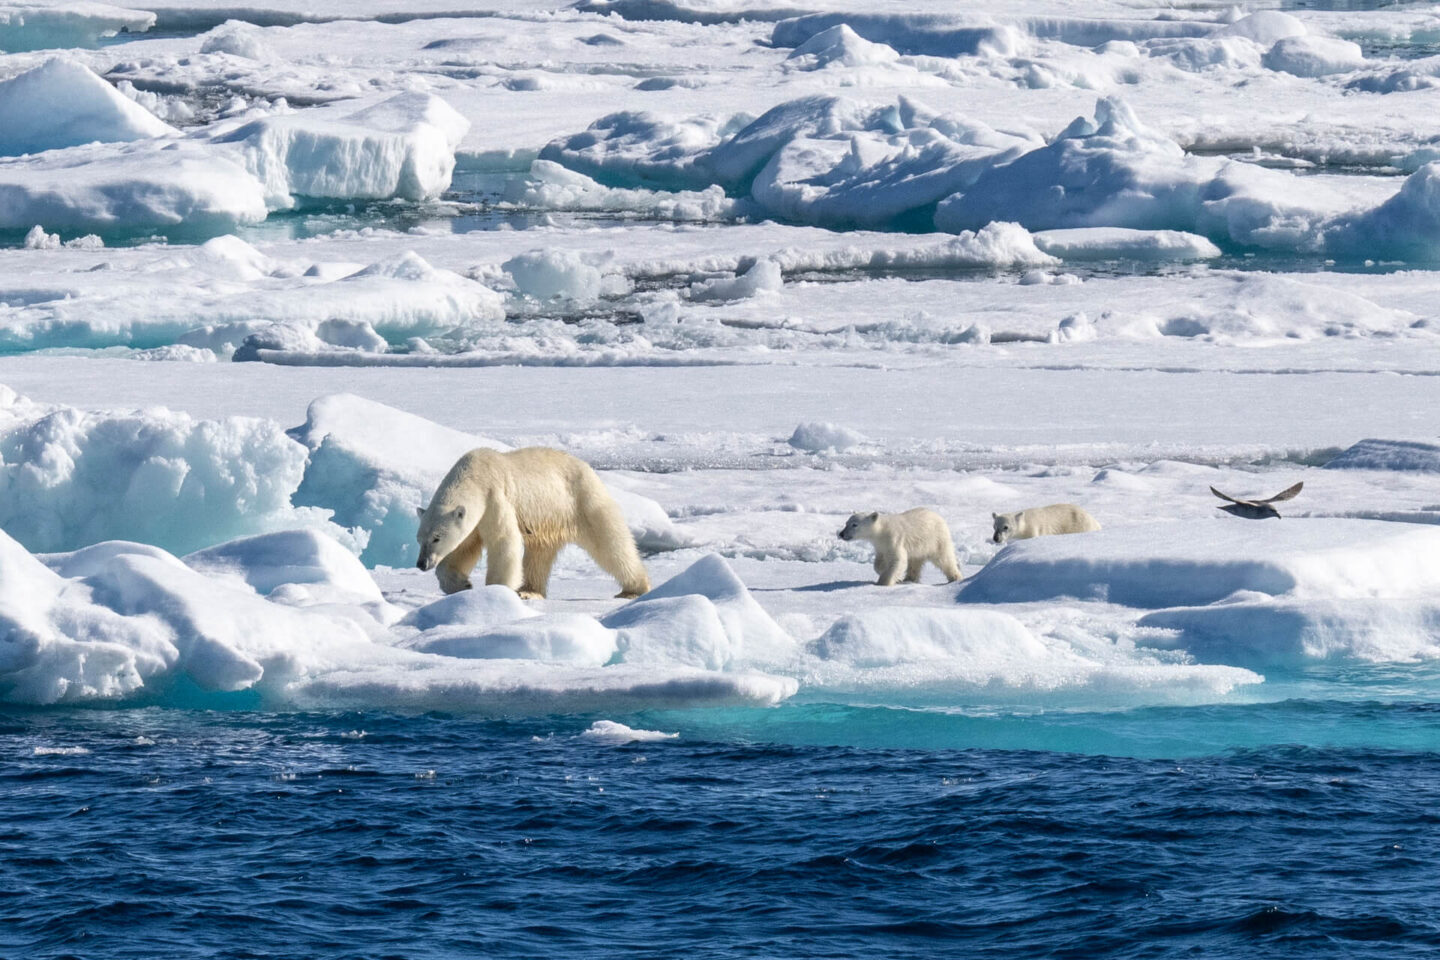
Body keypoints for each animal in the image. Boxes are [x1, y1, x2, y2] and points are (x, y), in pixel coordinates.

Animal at [417, 446, 653, 595]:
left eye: (436, 538)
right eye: (420, 539)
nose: (421, 563)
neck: (474, 475)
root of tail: (588, 468)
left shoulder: (495, 498)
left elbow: (503, 541)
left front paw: (496, 590)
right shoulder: (476, 519)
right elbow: (465, 546)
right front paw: (461, 584)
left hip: (583, 501)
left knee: (610, 543)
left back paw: (634, 589)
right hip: (549, 521)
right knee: (539, 555)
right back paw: (529, 591)